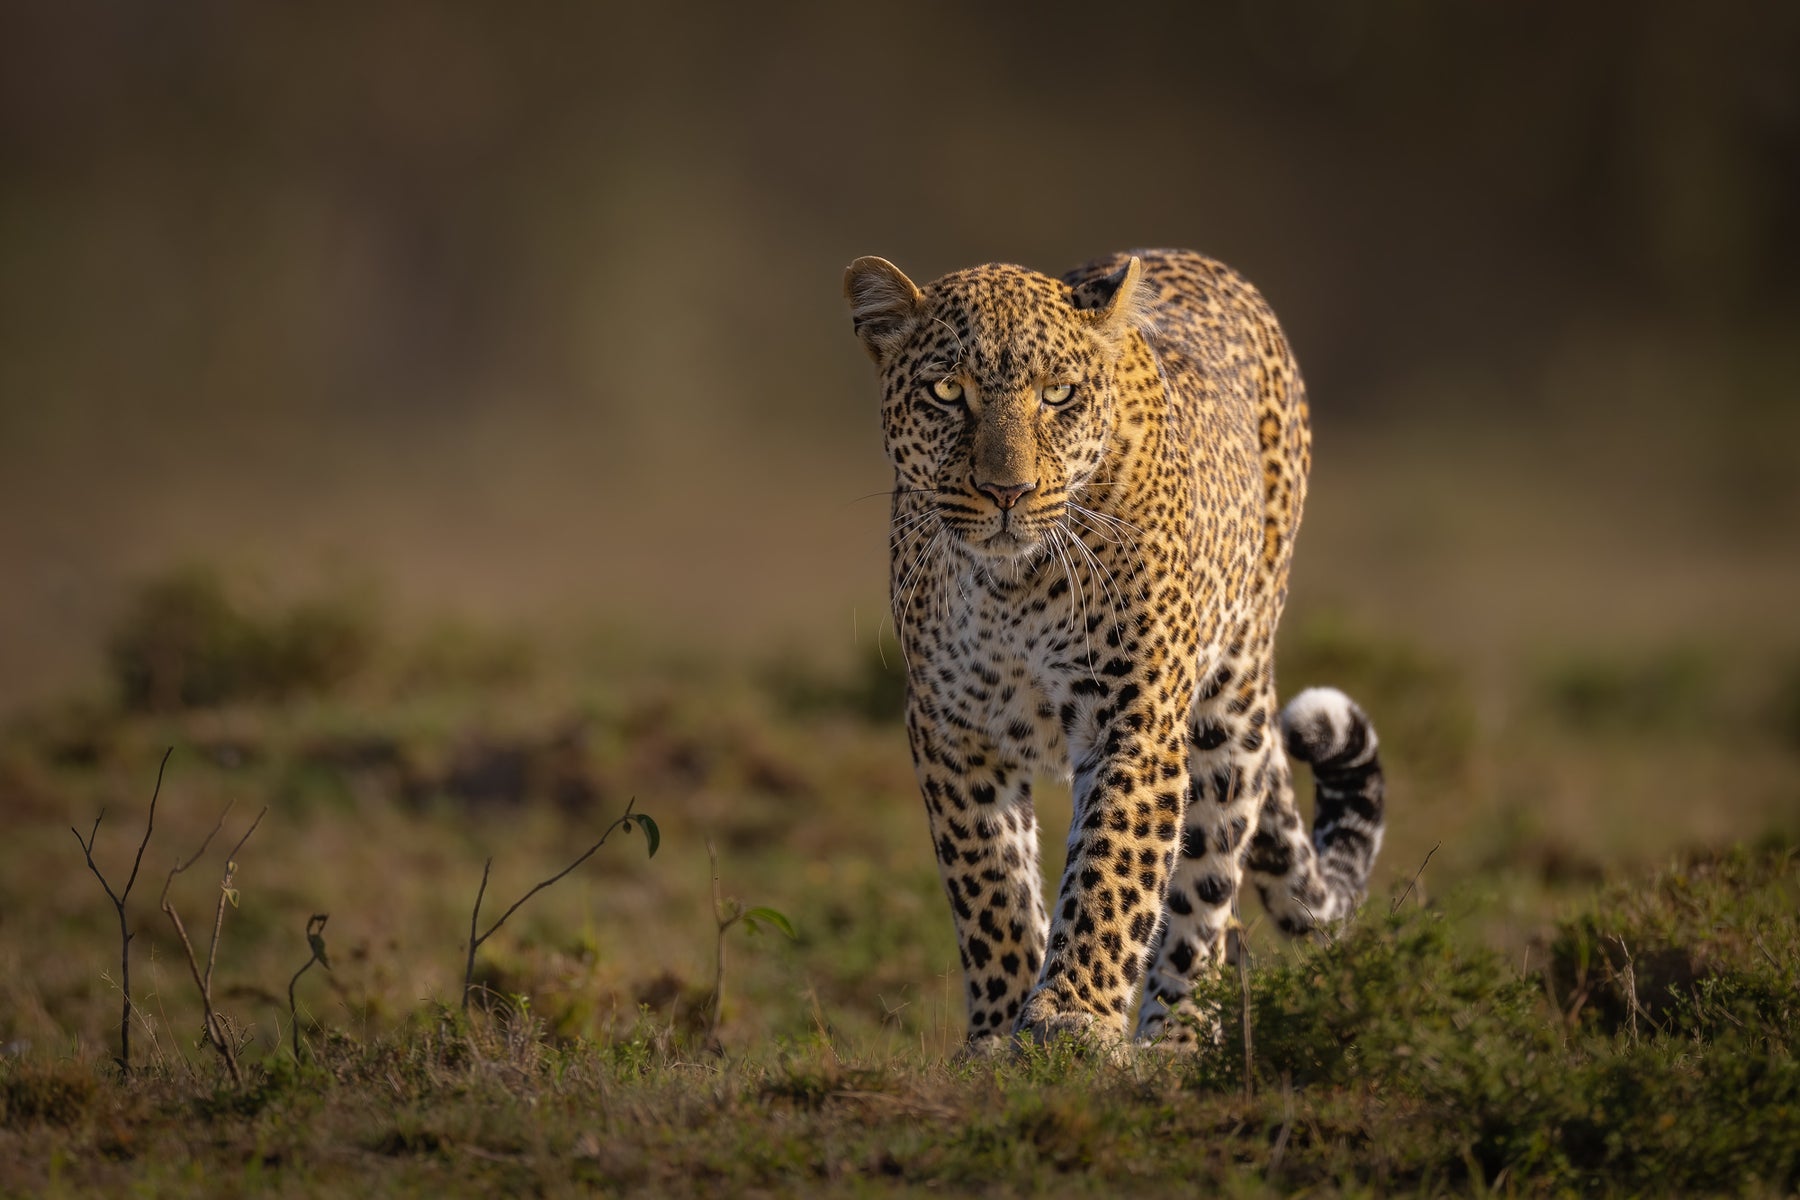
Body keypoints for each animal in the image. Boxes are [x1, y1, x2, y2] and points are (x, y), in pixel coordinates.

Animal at [842, 248, 1386, 1053]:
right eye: (946, 392)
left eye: (1058, 395)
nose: (1007, 491)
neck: (1010, 583)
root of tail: (1199, 259)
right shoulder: (950, 728)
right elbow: (991, 888)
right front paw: (998, 1032)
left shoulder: (1134, 716)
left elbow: (1112, 868)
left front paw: (1073, 1013)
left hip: (1232, 707)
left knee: (1206, 893)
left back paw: (1176, 1044)